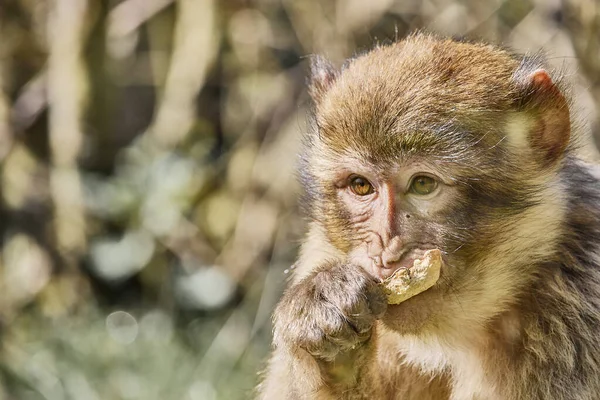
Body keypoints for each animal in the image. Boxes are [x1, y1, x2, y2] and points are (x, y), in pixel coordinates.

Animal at [255, 32, 600, 398]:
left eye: (422, 184)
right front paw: (328, 330)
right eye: (361, 186)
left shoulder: (579, 311)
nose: (384, 251)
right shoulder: (321, 248)